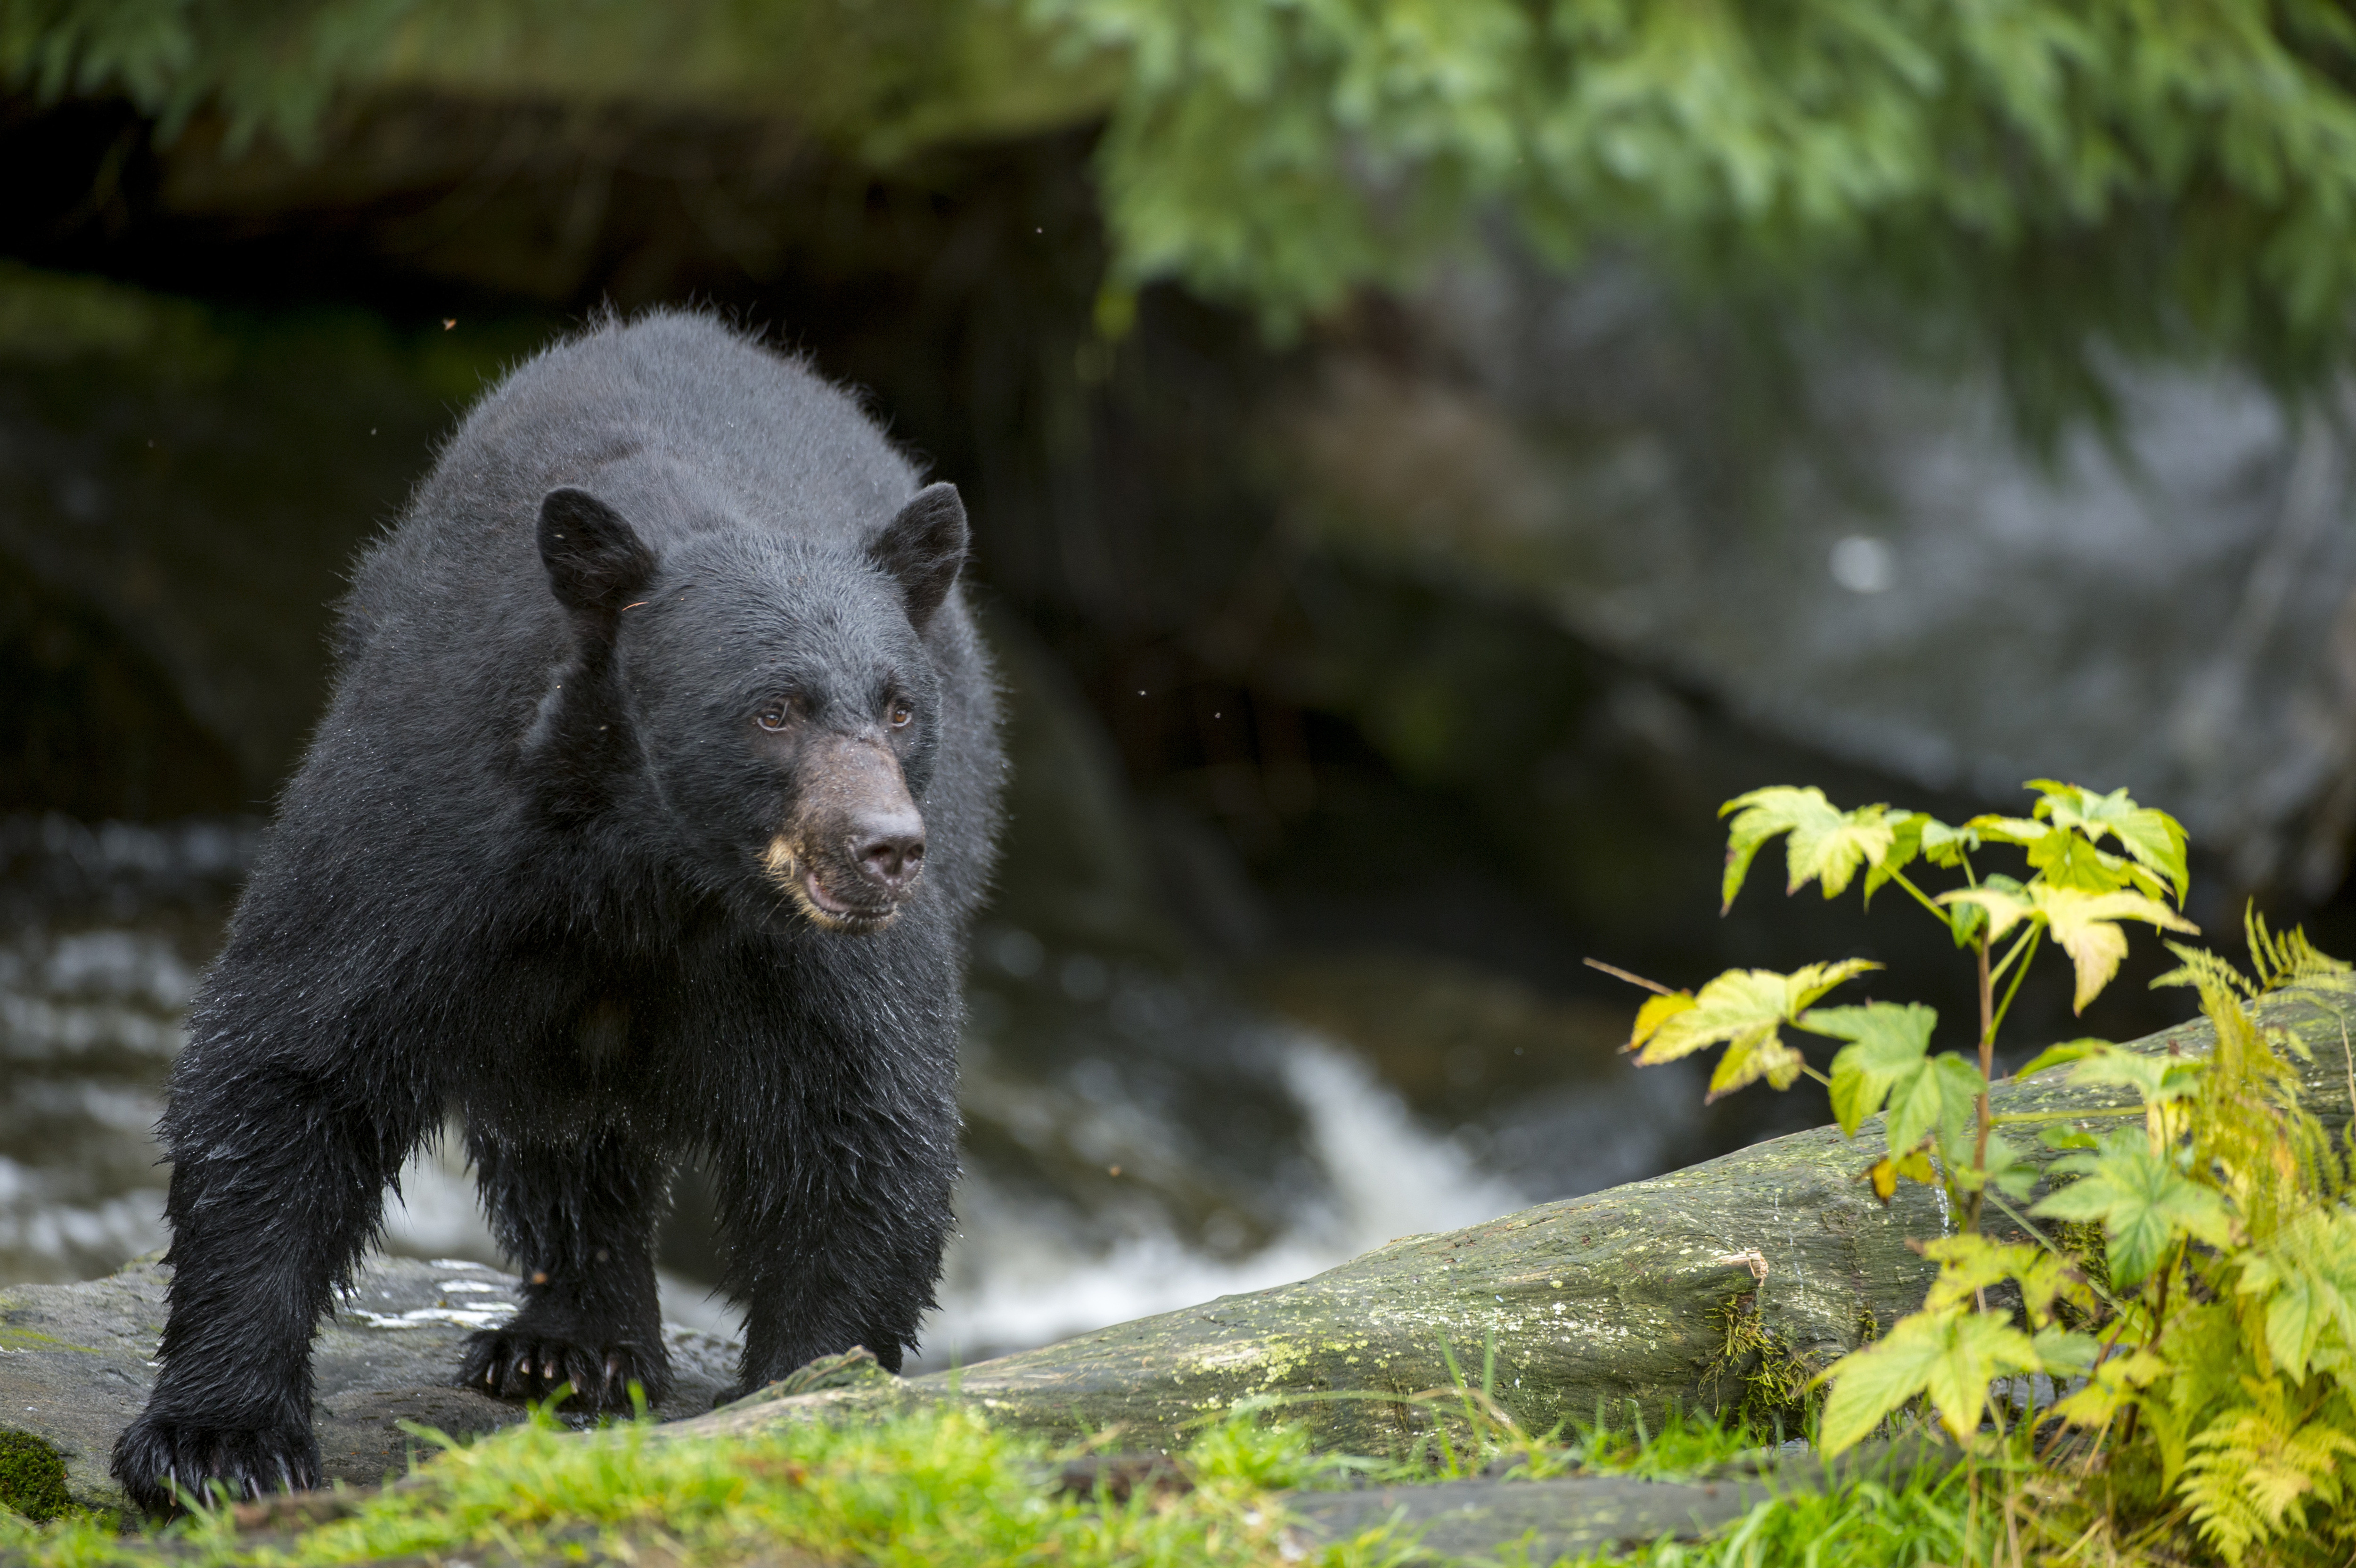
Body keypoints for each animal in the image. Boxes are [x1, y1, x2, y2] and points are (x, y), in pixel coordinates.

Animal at [111, 310, 1004, 1507]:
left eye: (899, 707)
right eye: (772, 708)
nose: (886, 849)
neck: (653, 867)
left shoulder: (814, 957)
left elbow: (860, 1126)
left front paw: (807, 1388)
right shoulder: (437, 834)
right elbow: (295, 1055)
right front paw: (218, 1442)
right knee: (558, 1128)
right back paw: (568, 1343)